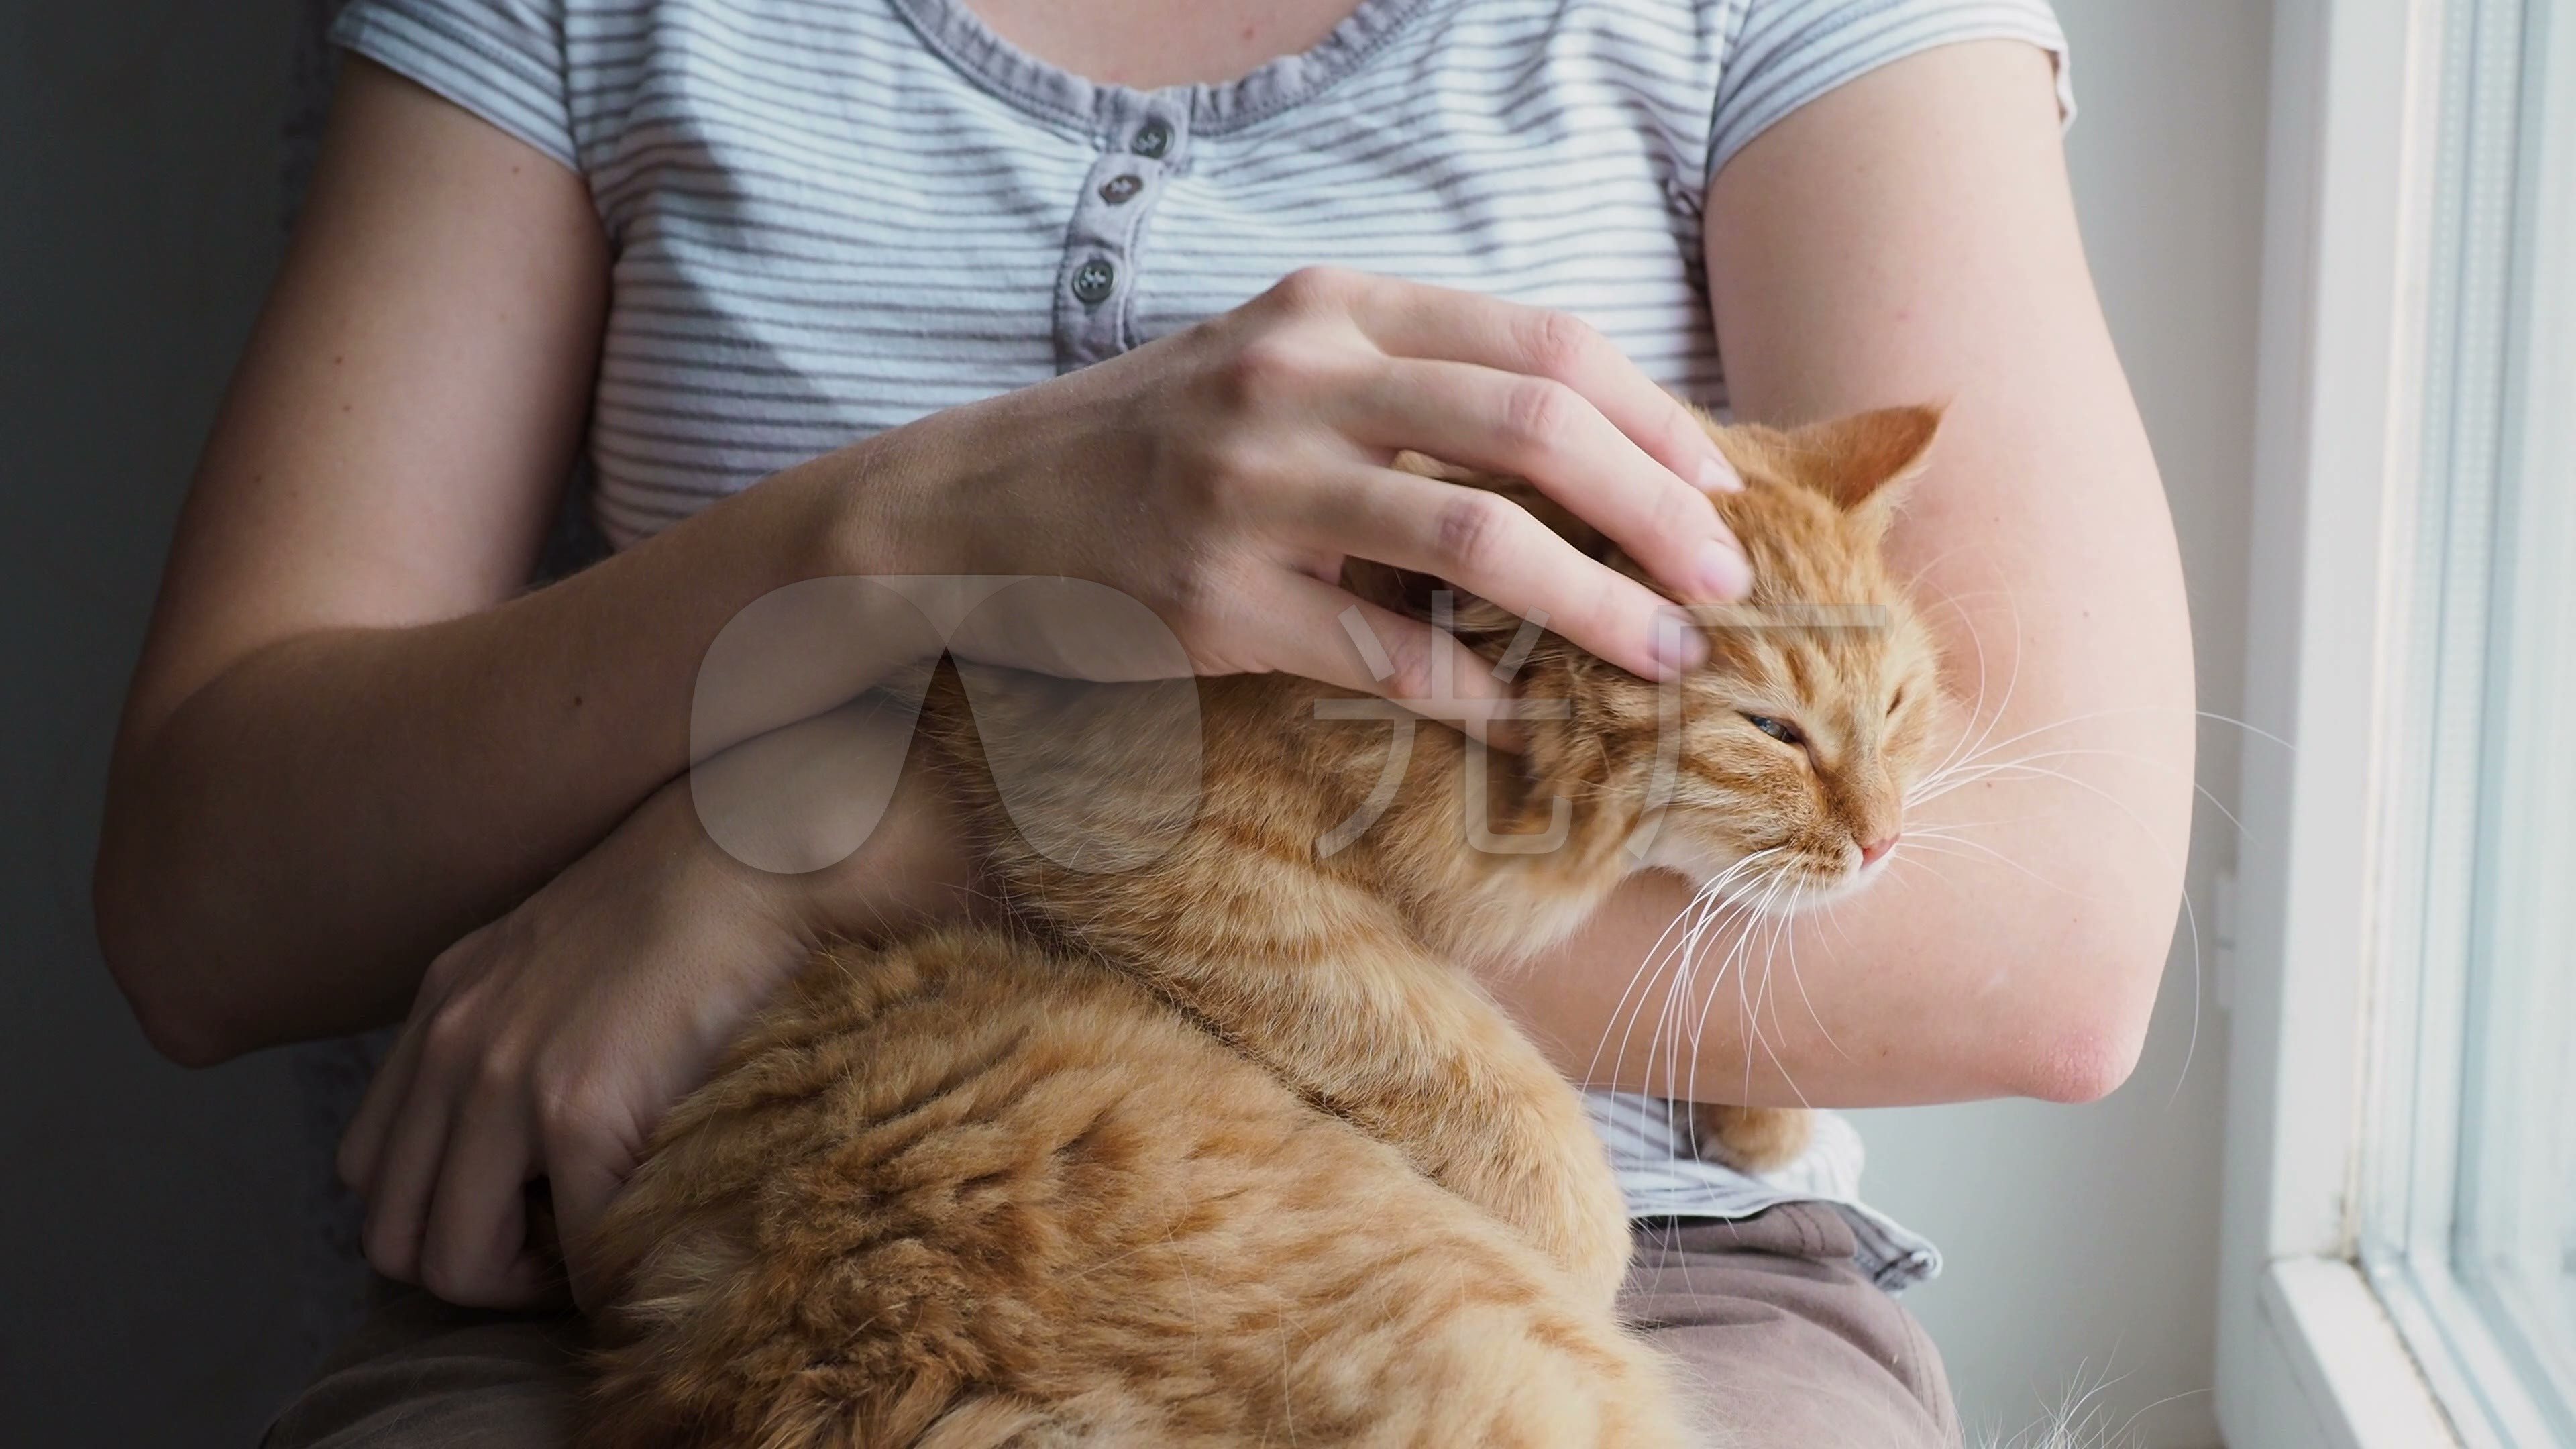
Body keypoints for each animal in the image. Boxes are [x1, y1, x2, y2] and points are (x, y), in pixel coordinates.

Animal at [590, 407, 1947, 1444]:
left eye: (1894, 703)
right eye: (1773, 732)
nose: (1885, 841)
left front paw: (1765, 1121)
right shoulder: (1173, 850)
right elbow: (1482, 1077)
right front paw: (1586, 1244)